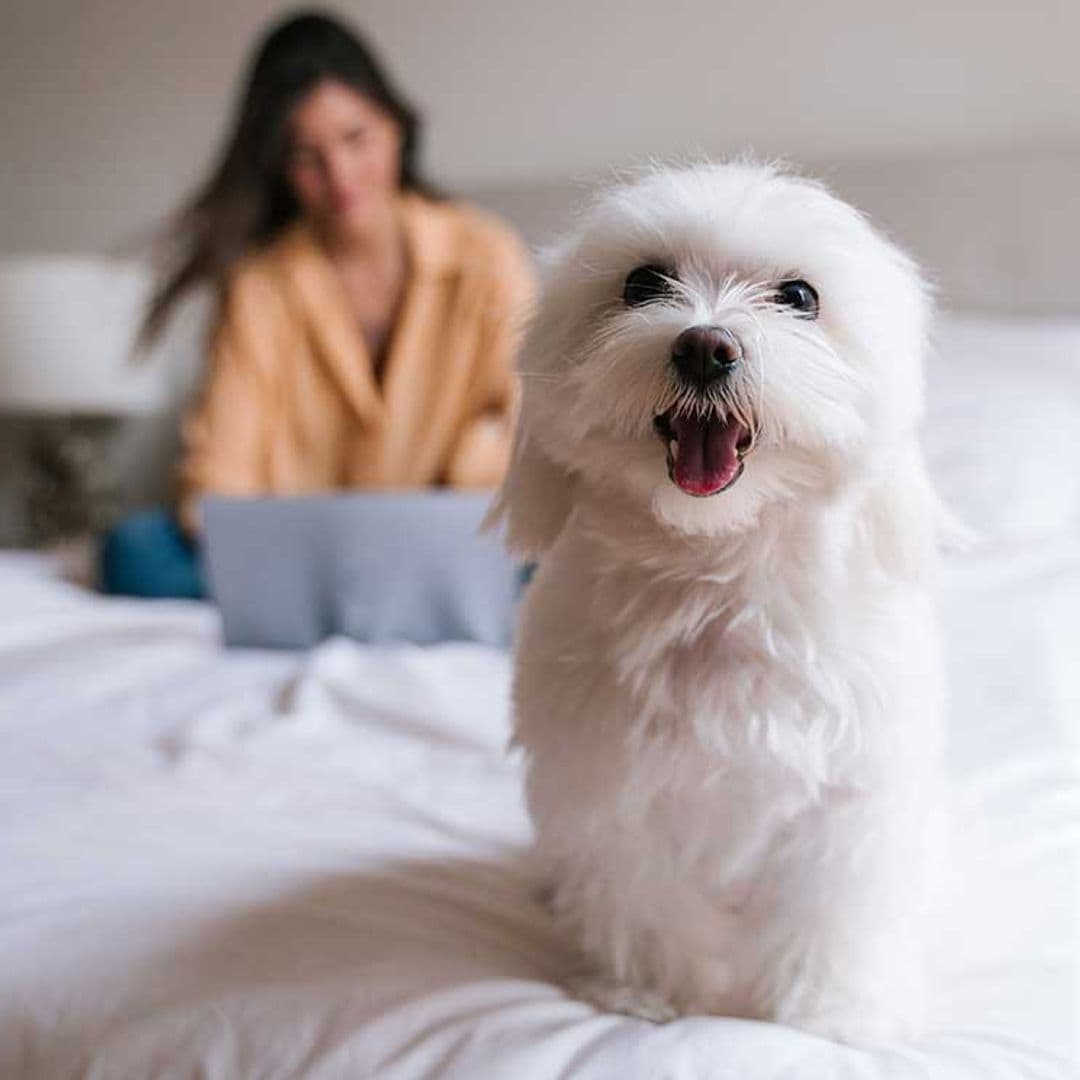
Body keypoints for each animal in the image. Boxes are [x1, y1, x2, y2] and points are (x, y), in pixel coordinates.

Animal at [494, 162, 946, 1045]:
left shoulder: (848, 800)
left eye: (800, 296)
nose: (705, 345)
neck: (718, 574)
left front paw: (828, 1012)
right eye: (642, 284)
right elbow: (640, 896)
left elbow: (831, 911)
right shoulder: (607, 787)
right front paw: (650, 994)